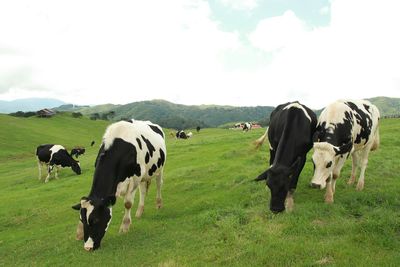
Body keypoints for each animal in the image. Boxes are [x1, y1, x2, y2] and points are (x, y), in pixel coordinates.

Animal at [71, 120, 166, 252]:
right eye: (82, 219)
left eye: (96, 220)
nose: (88, 247)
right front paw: (79, 232)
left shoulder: (134, 179)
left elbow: (128, 204)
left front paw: (125, 227)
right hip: (144, 174)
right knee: (143, 191)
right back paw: (139, 211)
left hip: (159, 168)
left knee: (158, 185)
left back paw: (158, 204)